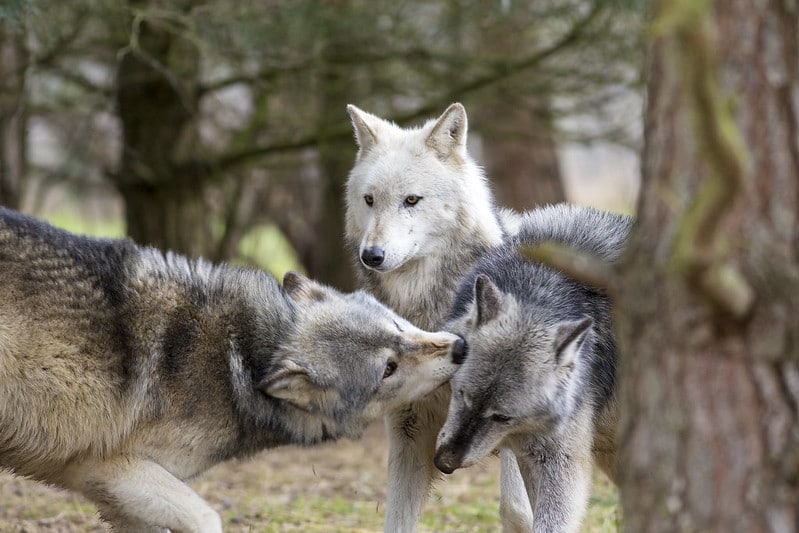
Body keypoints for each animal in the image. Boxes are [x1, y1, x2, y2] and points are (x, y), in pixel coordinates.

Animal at [0, 208, 466, 532]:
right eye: (388, 369)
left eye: (397, 327)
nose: (461, 347)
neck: (239, 356)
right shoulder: (107, 470)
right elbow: (209, 518)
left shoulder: (117, 497)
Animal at [342, 102, 532, 528]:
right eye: (369, 200)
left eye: (411, 200)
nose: (371, 255)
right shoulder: (408, 430)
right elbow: (395, 519)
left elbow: (518, 511)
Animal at [434, 202, 636, 528]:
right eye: (462, 395)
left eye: (502, 417)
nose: (444, 463)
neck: (541, 288)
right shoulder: (528, 454)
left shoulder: (561, 461)